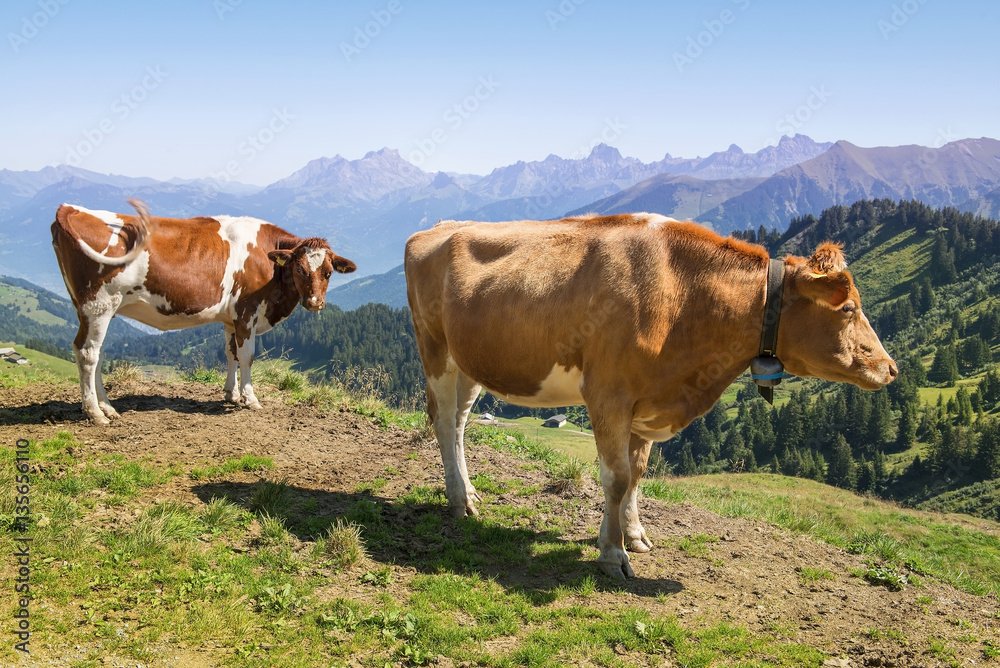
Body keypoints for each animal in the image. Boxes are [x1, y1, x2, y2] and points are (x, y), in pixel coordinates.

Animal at [52, 200, 356, 425]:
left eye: (328, 272)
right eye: (300, 269)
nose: (315, 302)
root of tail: (73, 208)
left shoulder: (231, 318)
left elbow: (231, 353)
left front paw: (230, 394)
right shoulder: (247, 311)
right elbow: (247, 356)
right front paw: (250, 398)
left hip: (94, 309)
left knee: (97, 354)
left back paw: (107, 407)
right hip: (99, 304)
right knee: (87, 353)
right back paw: (95, 413)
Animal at [404, 213, 897, 579]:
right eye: (848, 308)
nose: (890, 368)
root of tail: (438, 226)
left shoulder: (646, 402)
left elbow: (636, 474)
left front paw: (633, 534)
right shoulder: (608, 394)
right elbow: (616, 477)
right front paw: (611, 554)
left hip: (471, 361)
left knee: (461, 423)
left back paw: (469, 490)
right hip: (435, 350)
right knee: (444, 422)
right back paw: (460, 500)